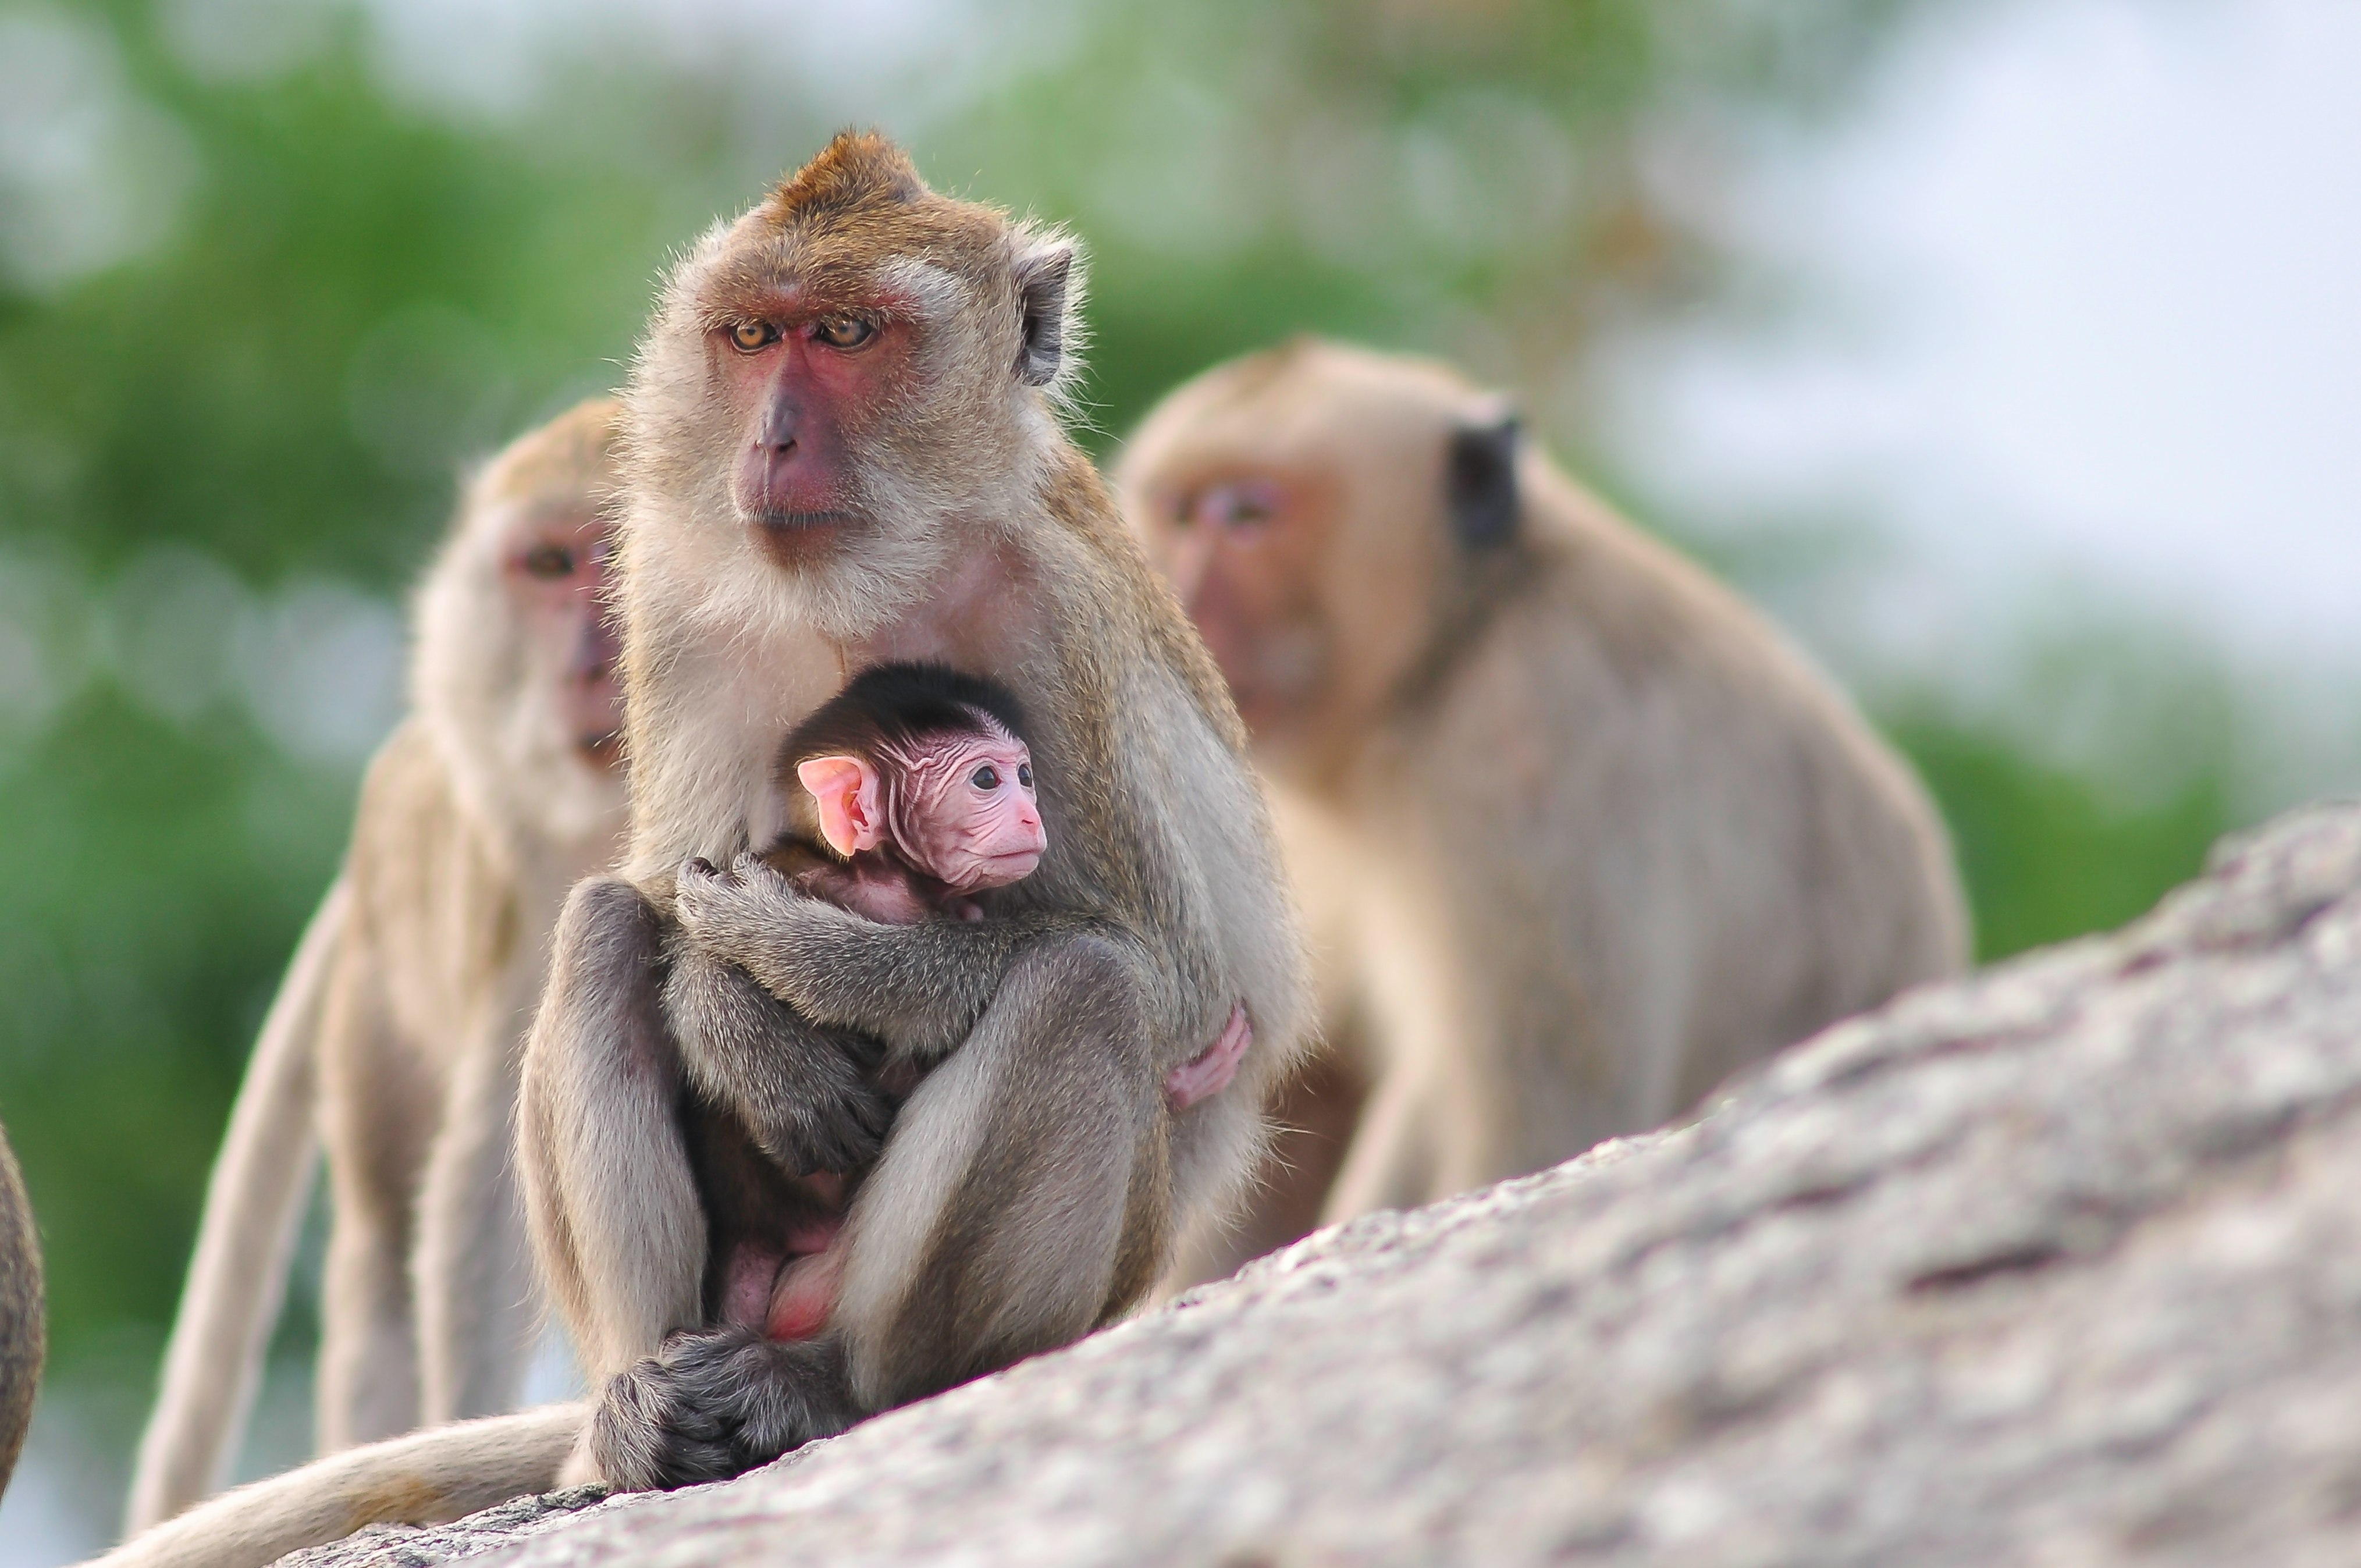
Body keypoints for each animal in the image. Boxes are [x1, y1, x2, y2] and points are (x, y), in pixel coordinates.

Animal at [126, 394, 628, 1530]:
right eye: (550, 564)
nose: (595, 662)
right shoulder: (541, 884)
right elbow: (487, 1181)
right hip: (377, 1003)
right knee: (383, 1246)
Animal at [521, 134, 1313, 1492]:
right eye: (750, 337)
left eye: (845, 335)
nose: (772, 442)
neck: (865, 580)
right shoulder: (677, 602)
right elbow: (666, 881)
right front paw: (732, 1012)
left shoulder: (1054, 615)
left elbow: (1176, 990)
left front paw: (801, 959)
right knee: (601, 923)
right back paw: (642, 1409)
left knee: (1086, 984)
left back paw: (835, 1387)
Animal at [1114, 337, 1964, 1284]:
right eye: (1177, 511)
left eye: (1246, 514)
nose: (1178, 591)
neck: (1453, 642)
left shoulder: (1531, 747)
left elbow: (1537, 1121)